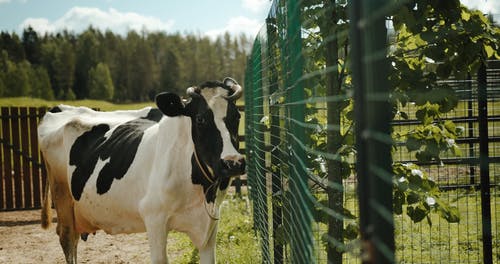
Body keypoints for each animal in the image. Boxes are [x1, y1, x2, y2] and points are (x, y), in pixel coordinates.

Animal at [38, 77, 245, 262]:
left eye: (237, 116)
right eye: (200, 119)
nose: (233, 162)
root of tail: (61, 109)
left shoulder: (209, 226)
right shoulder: (154, 218)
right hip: (63, 197)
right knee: (67, 238)